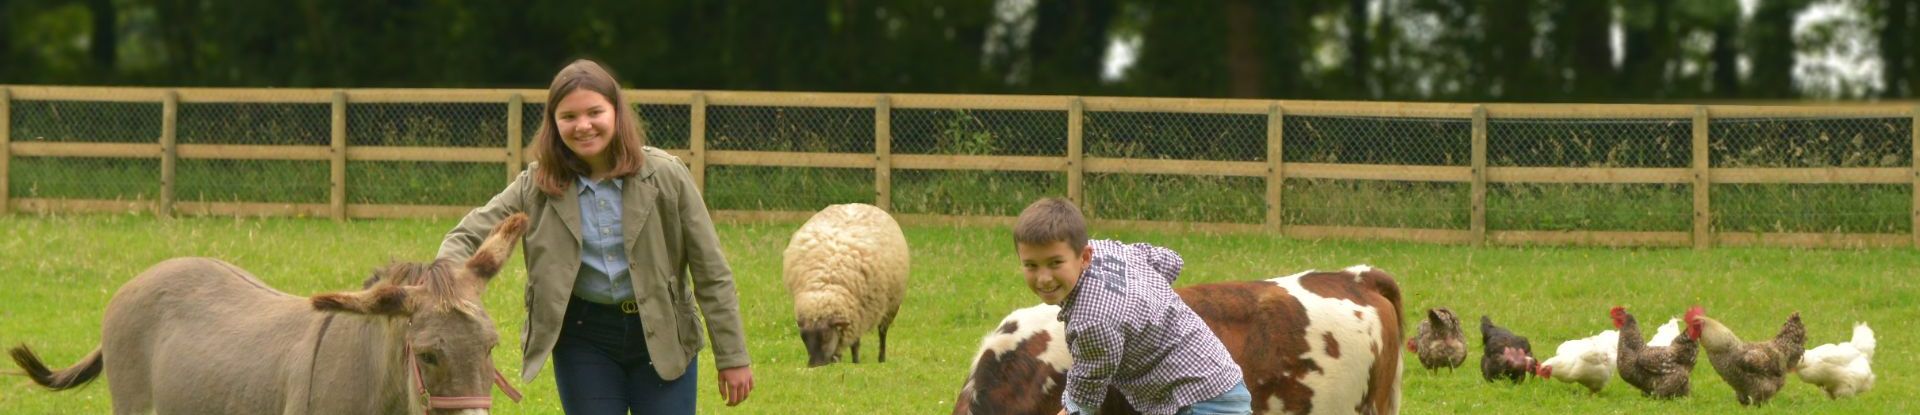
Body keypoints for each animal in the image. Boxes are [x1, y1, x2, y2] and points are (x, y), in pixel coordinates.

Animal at [779, 202, 906, 368]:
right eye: (804, 338)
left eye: (826, 336)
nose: (815, 365)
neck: (825, 286)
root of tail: (856, 203)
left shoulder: (859, 314)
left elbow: (856, 344)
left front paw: (856, 363)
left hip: (891, 305)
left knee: (882, 332)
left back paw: (881, 359)